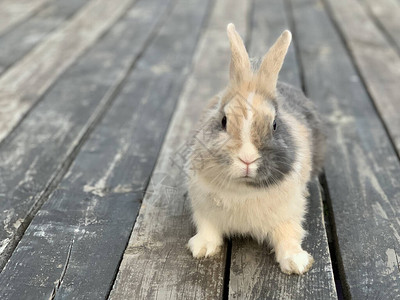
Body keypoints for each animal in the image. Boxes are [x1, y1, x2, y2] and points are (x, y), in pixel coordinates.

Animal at [187, 24, 324, 276]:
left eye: (275, 124)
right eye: (223, 121)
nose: (247, 159)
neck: (244, 190)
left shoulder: (288, 214)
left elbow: (289, 236)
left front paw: (296, 263)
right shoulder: (203, 208)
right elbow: (207, 228)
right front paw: (202, 248)